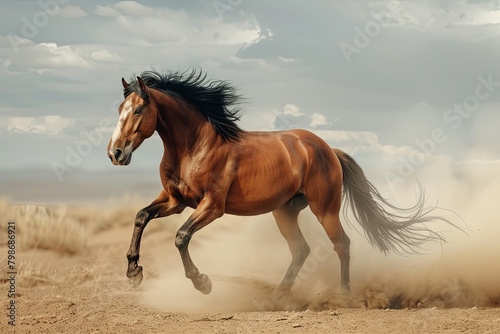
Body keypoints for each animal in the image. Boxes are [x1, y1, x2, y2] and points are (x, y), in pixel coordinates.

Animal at [107, 68, 456, 294]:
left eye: (138, 110)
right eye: (119, 108)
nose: (115, 153)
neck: (195, 145)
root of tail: (327, 148)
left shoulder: (212, 206)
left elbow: (181, 237)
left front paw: (202, 283)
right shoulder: (175, 201)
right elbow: (141, 217)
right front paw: (134, 272)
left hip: (325, 209)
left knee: (341, 244)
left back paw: (344, 295)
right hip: (285, 211)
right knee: (301, 250)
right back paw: (279, 295)